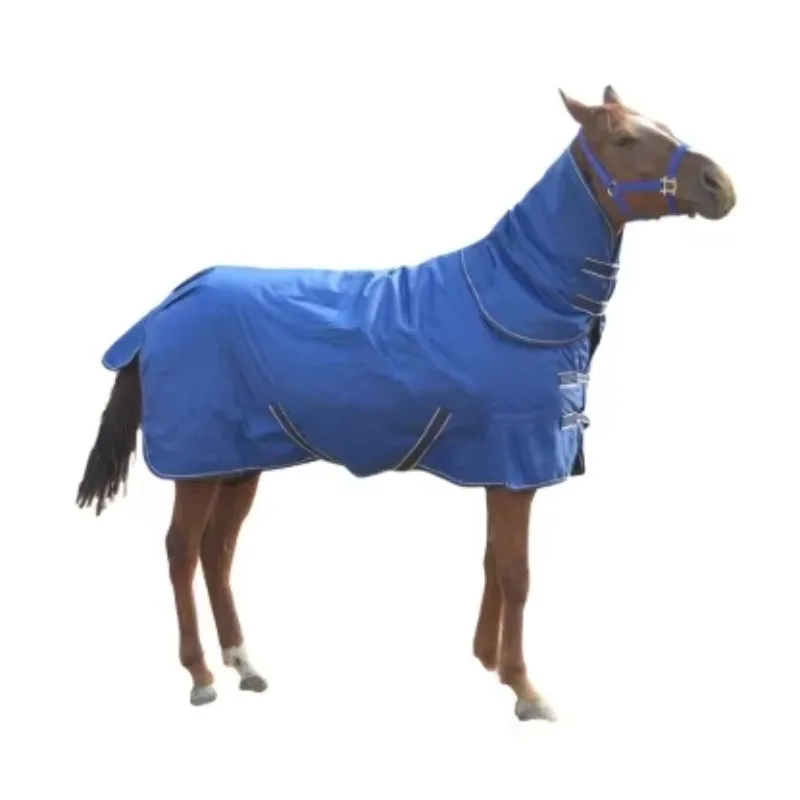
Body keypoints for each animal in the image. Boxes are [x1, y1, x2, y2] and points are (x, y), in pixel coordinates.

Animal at [76, 86, 736, 719]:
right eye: (624, 139)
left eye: (665, 127)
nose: (719, 185)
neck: (519, 295)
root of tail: (167, 306)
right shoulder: (518, 465)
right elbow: (517, 574)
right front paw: (525, 689)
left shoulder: (498, 471)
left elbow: (493, 563)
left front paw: (489, 662)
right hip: (198, 464)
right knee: (182, 551)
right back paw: (201, 676)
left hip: (238, 463)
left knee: (217, 551)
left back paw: (244, 663)